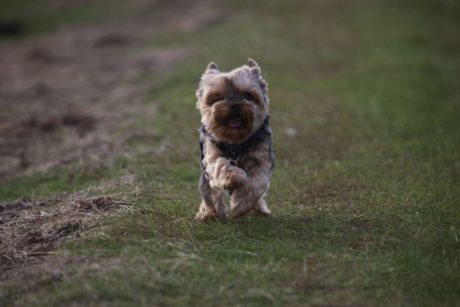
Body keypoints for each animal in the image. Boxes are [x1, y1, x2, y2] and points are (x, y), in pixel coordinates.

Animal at [194, 58, 274, 221]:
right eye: (218, 97)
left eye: (248, 95)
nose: (235, 105)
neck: (236, 141)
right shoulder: (211, 154)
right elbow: (221, 165)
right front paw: (234, 176)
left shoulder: (261, 158)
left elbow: (256, 183)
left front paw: (239, 205)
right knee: (210, 194)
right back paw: (209, 214)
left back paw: (259, 210)